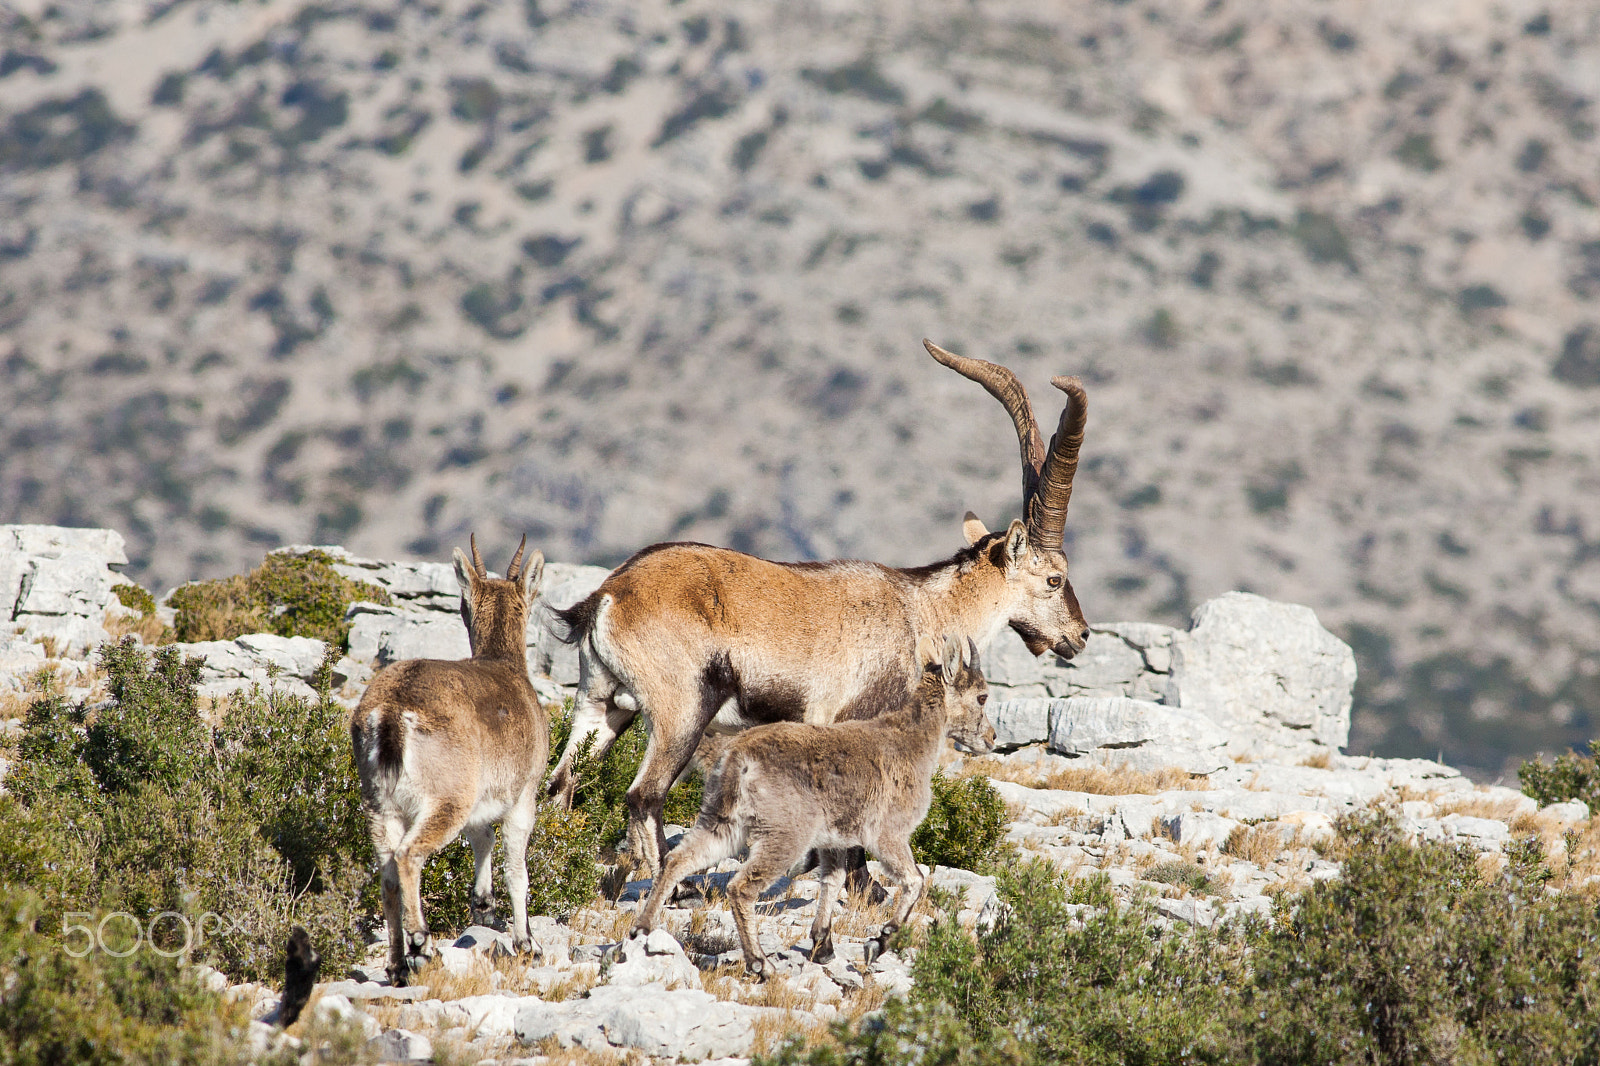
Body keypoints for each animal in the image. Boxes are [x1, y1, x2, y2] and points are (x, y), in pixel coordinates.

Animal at [351, 536, 548, 985]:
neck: (505, 665)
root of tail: (389, 713)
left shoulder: (480, 800)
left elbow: (483, 837)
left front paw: (483, 904)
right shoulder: (523, 795)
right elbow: (516, 868)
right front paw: (528, 943)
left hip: (378, 803)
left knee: (387, 872)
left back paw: (396, 965)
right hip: (445, 798)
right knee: (408, 856)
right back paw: (421, 946)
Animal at [548, 339, 1088, 875]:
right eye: (1055, 578)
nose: (1079, 635)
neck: (923, 614)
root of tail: (609, 596)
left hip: (600, 704)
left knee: (561, 785)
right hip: (680, 710)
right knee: (644, 796)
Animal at [633, 634, 993, 977]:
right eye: (982, 696)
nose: (991, 739)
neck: (911, 740)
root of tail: (738, 759)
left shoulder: (834, 840)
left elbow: (832, 879)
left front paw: (823, 946)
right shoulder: (888, 833)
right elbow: (914, 880)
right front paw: (879, 941)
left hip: (722, 820)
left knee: (679, 859)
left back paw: (643, 929)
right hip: (785, 833)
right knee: (741, 887)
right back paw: (760, 963)